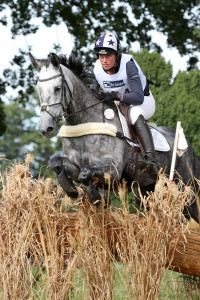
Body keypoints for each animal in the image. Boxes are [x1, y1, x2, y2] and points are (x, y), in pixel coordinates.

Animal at [29, 52, 200, 224]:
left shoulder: (113, 169)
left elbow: (85, 173)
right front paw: (74, 192)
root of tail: (188, 148)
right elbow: (57, 163)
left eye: (57, 88)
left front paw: (98, 198)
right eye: (38, 89)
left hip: (188, 190)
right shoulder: (74, 165)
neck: (85, 121)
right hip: (145, 191)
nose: (46, 129)